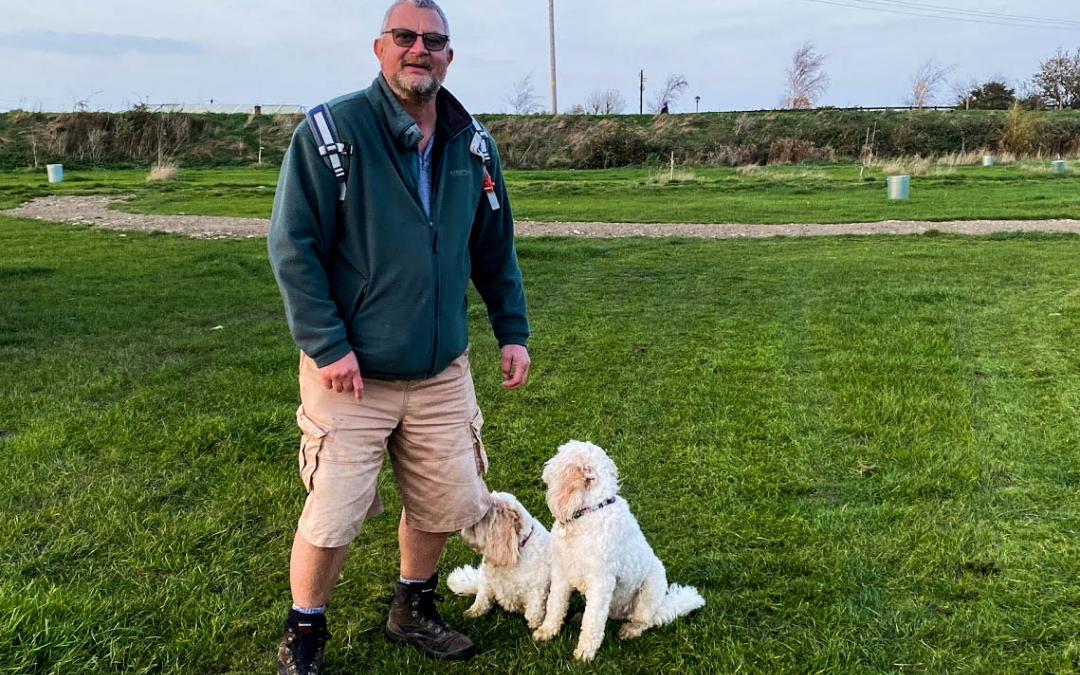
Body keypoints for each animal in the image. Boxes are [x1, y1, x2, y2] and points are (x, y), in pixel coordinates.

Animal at [447, 490, 552, 626]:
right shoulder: (486, 582)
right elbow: (481, 600)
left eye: (483, 517)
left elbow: (534, 614)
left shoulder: (537, 593)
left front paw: (537, 627)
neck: (517, 549)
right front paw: (471, 613)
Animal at [533, 440, 708, 660]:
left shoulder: (601, 583)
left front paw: (585, 652)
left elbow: (593, 621)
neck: (590, 511)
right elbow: (555, 605)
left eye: (559, 457)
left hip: (649, 590)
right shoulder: (562, 573)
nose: (545, 465)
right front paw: (546, 631)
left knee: (644, 621)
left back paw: (629, 630)